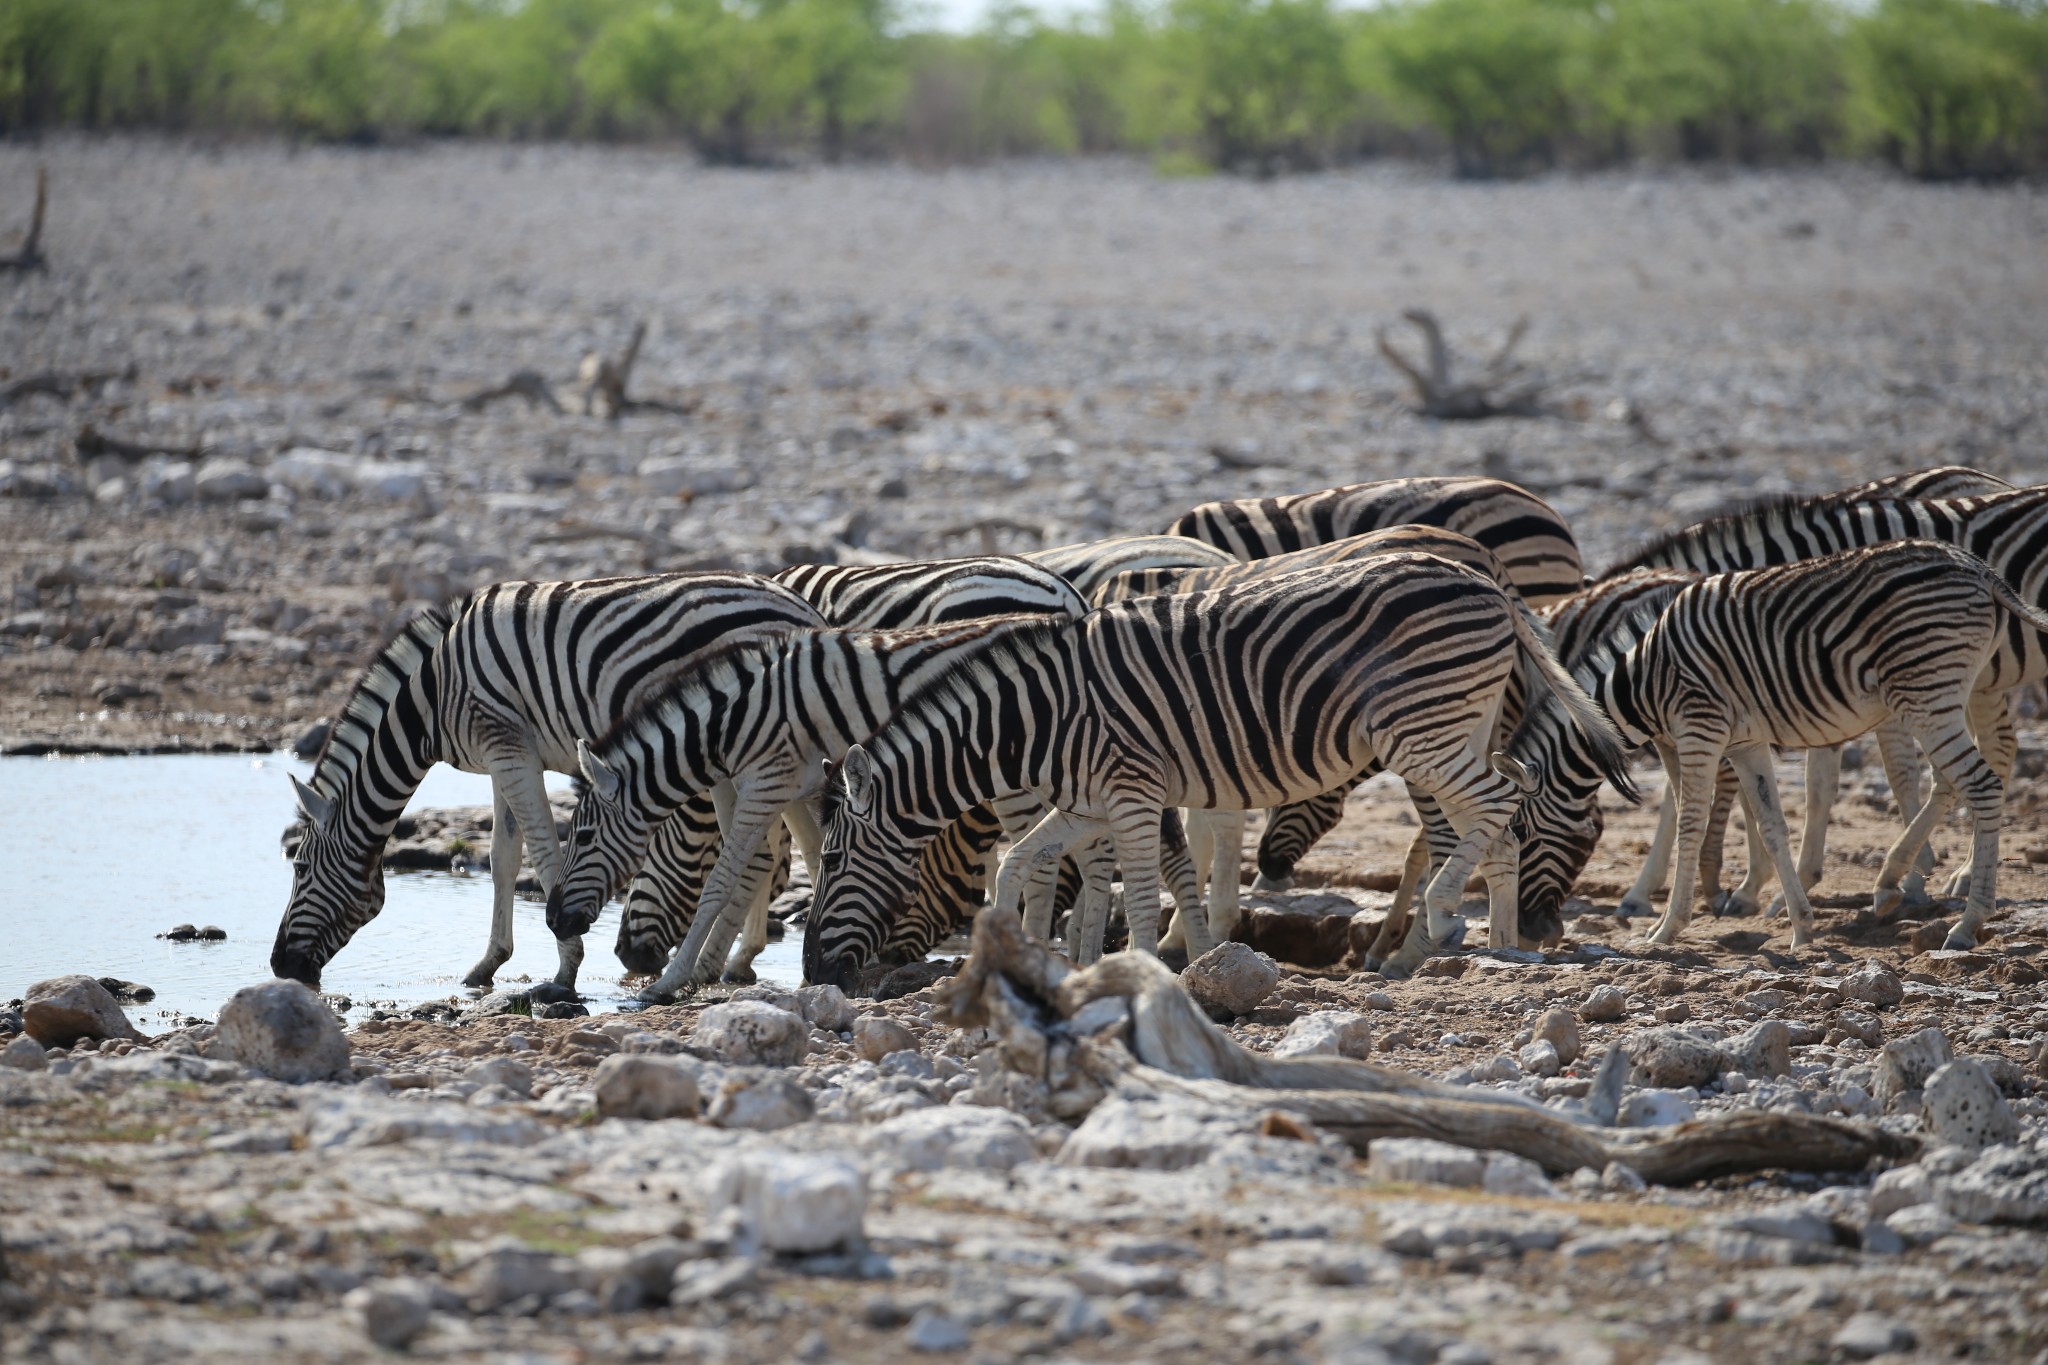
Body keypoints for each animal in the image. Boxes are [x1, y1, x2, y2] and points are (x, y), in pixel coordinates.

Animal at [272, 577, 823, 994]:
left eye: (298, 868)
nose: (279, 967)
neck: (430, 700)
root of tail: (803, 609)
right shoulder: (503, 755)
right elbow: (503, 858)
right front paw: (488, 964)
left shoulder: (509, 749)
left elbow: (542, 854)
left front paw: (565, 969)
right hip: (781, 753)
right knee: (806, 843)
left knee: (759, 853)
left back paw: (712, 966)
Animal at [798, 556, 1630, 994]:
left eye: (831, 859)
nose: (813, 974)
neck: (1036, 720)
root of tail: (1483, 579)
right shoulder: (1085, 805)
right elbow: (1016, 866)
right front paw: (1003, 953)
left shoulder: (1130, 796)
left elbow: (1139, 895)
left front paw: (1141, 970)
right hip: (1462, 721)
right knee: (1500, 818)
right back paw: (1500, 946)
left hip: (1423, 728)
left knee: (1500, 798)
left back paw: (1446, 916)